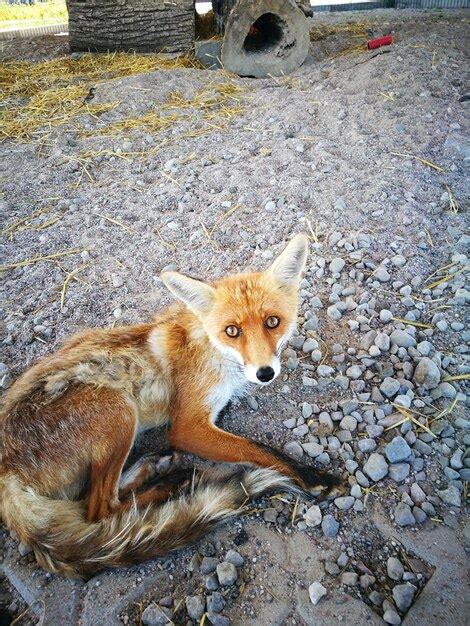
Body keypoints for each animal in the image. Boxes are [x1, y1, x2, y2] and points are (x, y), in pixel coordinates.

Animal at [0, 233, 342, 576]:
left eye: (273, 322)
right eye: (232, 331)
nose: (265, 373)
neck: (211, 349)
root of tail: (5, 470)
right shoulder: (188, 427)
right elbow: (259, 449)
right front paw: (313, 477)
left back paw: (155, 467)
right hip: (119, 409)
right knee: (100, 510)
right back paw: (171, 484)